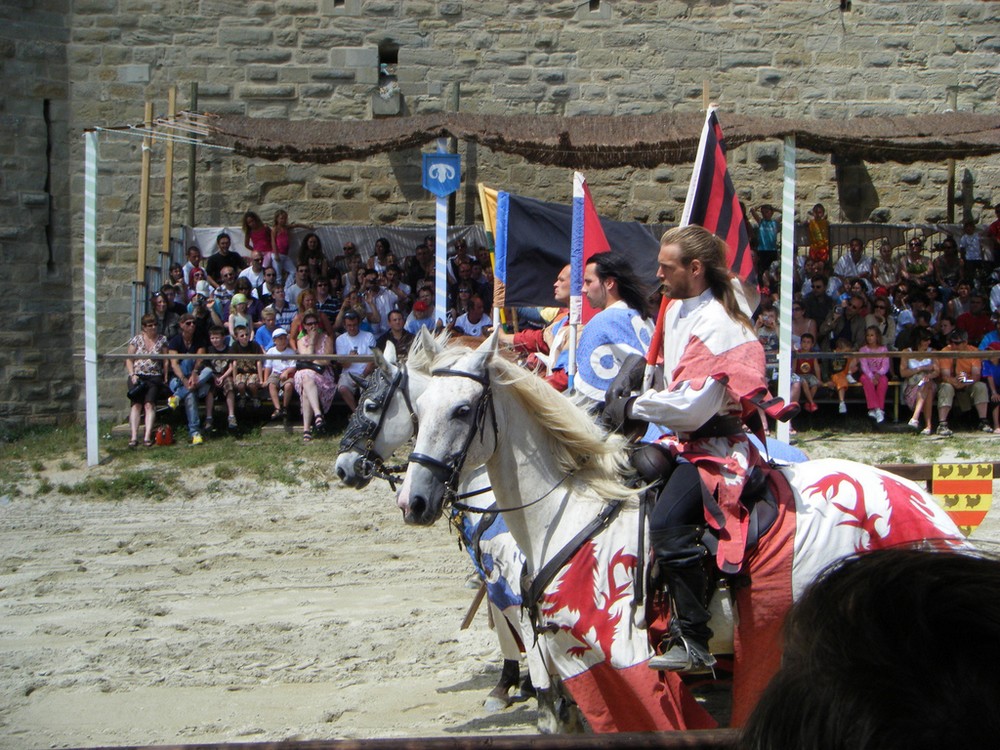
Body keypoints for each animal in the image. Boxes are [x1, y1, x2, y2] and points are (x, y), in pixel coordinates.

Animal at [334, 340, 580, 736]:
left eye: (371, 405)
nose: (342, 468)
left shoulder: (505, 575)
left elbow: (513, 626)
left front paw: (513, 684)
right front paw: (519, 684)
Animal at [396, 336, 968, 736]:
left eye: (463, 411)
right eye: (417, 412)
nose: (414, 502)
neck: (568, 508)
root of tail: (928, 508)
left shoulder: (622, 654)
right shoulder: (568, 658)